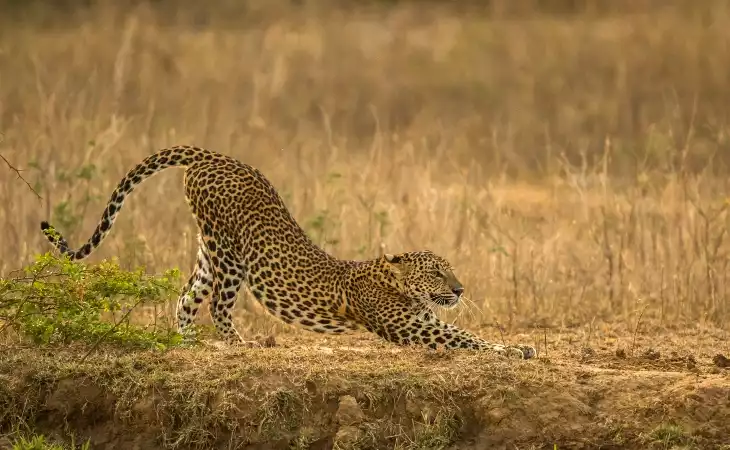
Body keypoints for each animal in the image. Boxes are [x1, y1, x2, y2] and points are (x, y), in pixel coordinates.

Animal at [40, 145, 537, 359]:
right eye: (435, 273)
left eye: (450, 271)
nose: (460, 289)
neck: (400, 287)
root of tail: (211, 155)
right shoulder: (412, 328)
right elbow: (466, 339)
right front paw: (514, 350)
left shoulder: (425, 320)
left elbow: (465, 333)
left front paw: (515, 345)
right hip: (229, 252)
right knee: (218, 305)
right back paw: (240, 344)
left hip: (208, 249)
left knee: (185, 298)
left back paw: (187, 343)